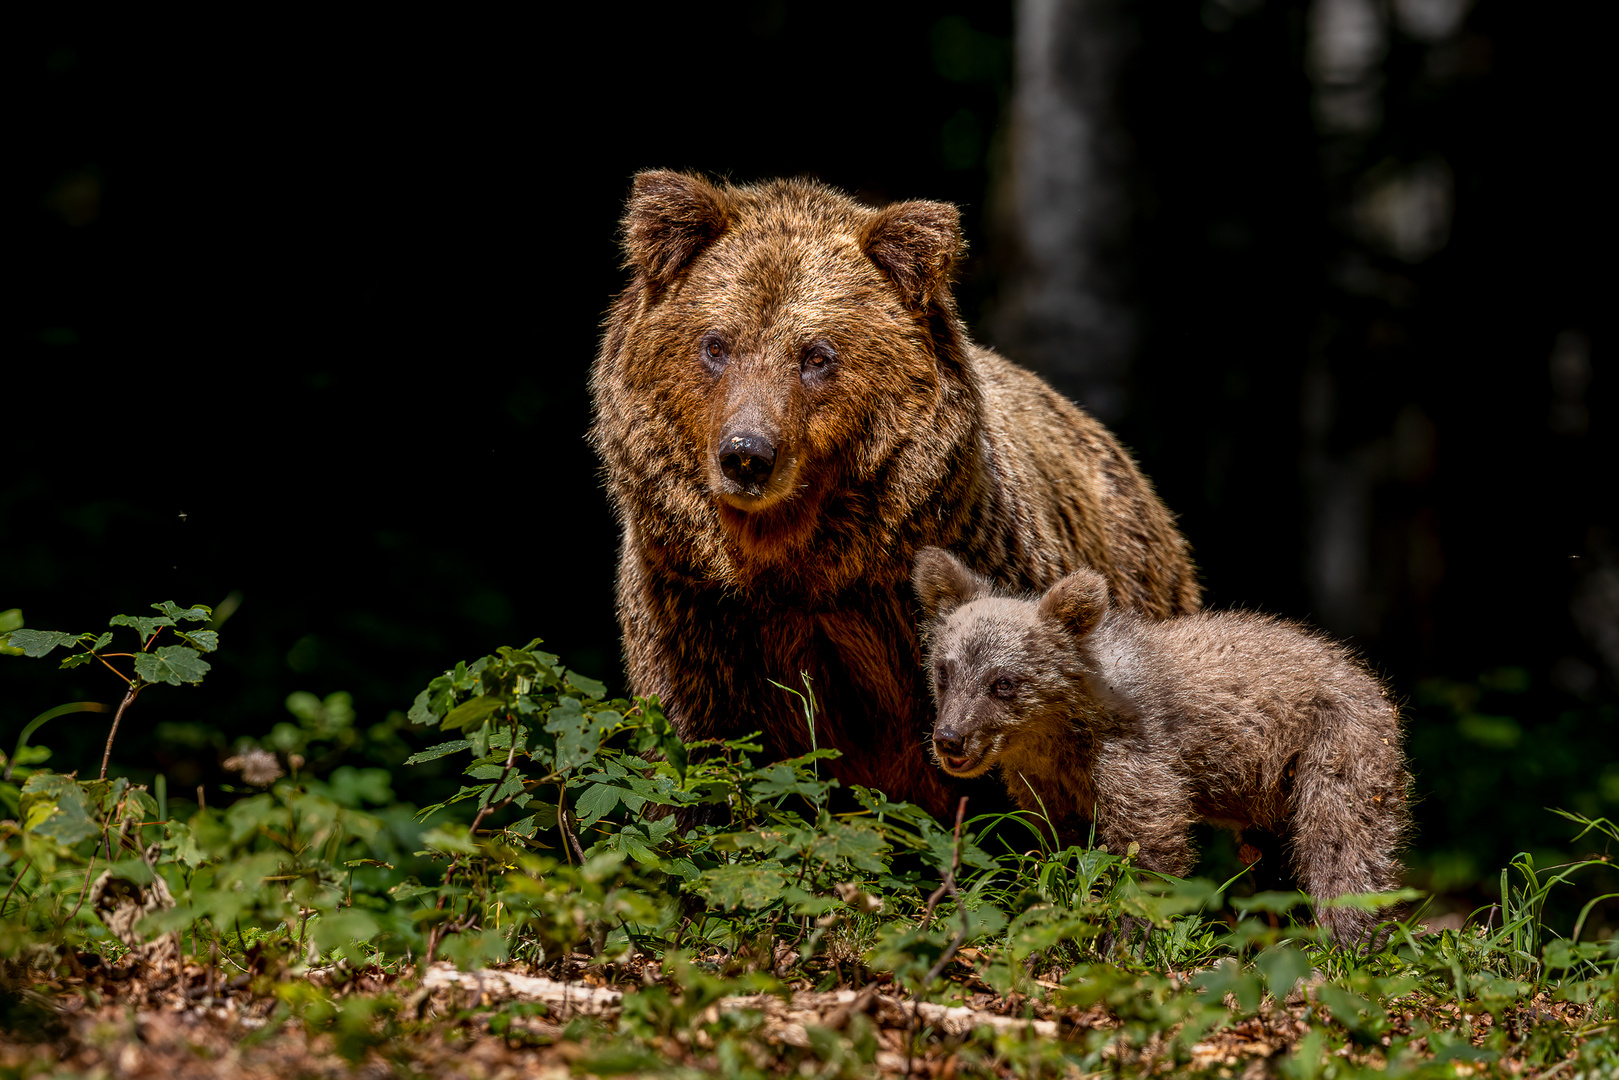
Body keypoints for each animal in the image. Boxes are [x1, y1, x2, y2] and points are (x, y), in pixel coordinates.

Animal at [592, 169, 1204, 816]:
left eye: (816, 355)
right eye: (716, 344)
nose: (747, 455)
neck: (802, 564)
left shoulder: (950, 597)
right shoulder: (697, 617)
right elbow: (695, 765)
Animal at [919, 550, 1411, 945]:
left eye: (1003, 682)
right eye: (945, 671)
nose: (949, 739)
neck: (1056, 735)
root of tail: (1366, 675)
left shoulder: (1136, 753)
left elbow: (1149, 848)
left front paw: (1127, 941)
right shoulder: (1046, 784)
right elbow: (1064, 850)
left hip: (1336, 750)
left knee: (1341, 848)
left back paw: (1348, 943)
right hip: (1274, 799)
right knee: (1276, 866)